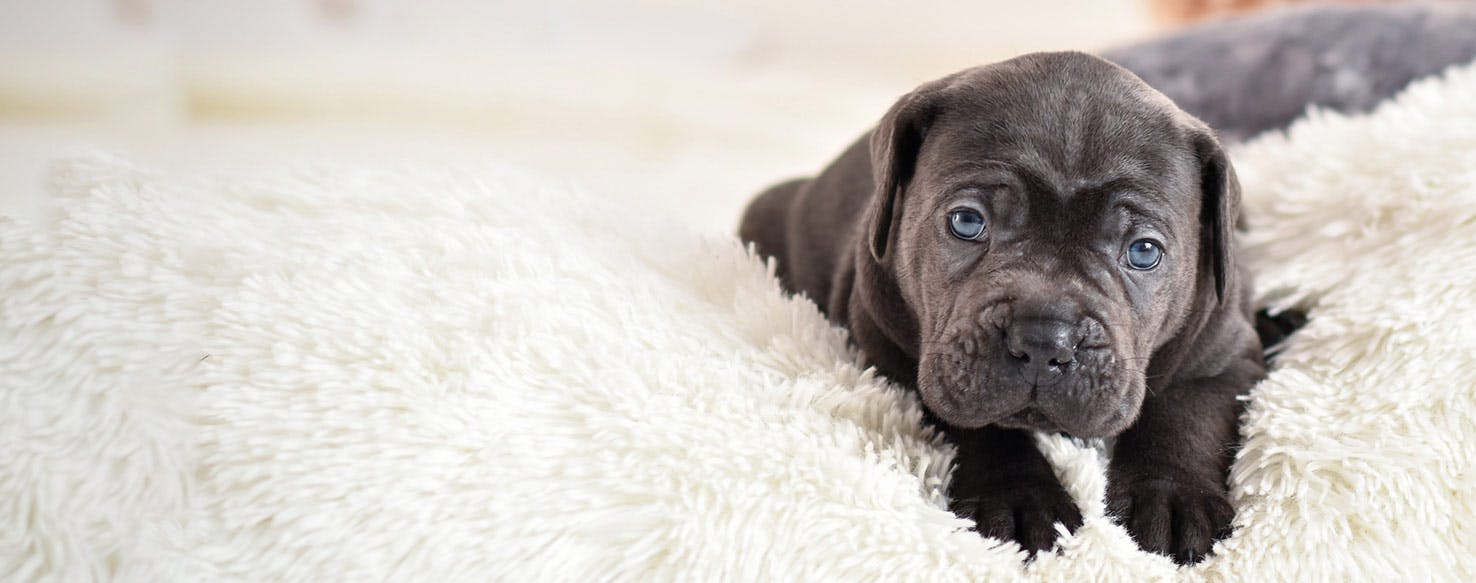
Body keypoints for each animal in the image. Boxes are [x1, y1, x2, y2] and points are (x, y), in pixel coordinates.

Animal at [738, 52, 1269, 563]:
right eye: (966, 221)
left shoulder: (1222, 356)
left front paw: (1174, 498)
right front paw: (1018, 499)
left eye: (1143, 251)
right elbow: (979, 427)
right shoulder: (898, 355)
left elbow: (1186, 414)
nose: (1044, 340)